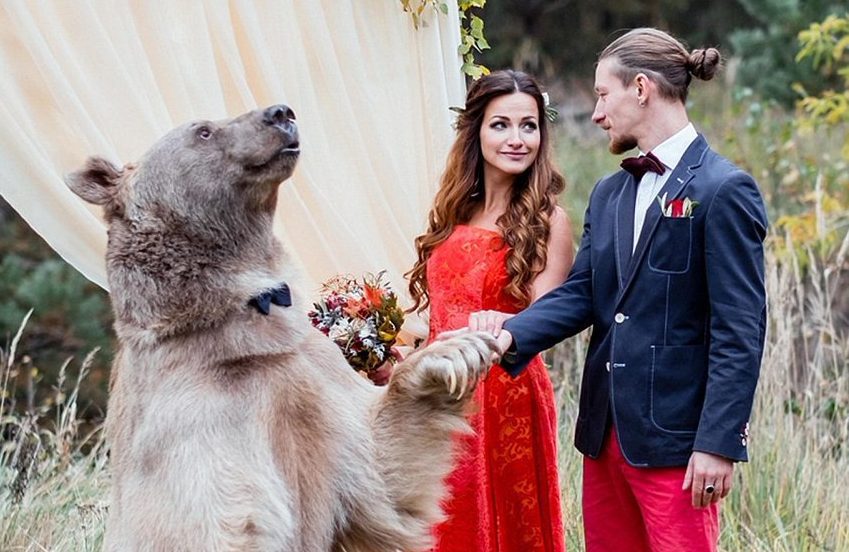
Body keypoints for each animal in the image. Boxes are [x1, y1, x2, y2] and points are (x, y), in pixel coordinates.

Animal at [68, 104, 496, 552]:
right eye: (203, 131)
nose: (280, 112)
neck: (245, 325)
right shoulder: (198, 414)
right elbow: (222, 518)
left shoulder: (314, 378)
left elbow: (380, 466)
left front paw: (456, 351)